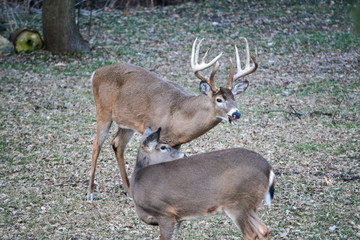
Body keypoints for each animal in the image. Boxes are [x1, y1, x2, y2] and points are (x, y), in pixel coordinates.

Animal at [87, 37, 258, 200]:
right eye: (219, 99)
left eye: (234, 97)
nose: (236, 113)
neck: (178, 115)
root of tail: (95, 73)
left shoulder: (176, 143)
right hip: (102, 110)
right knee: (97, 143)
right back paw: (90, 193)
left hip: (126, 122)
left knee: (117, 143)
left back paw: (128, 190)